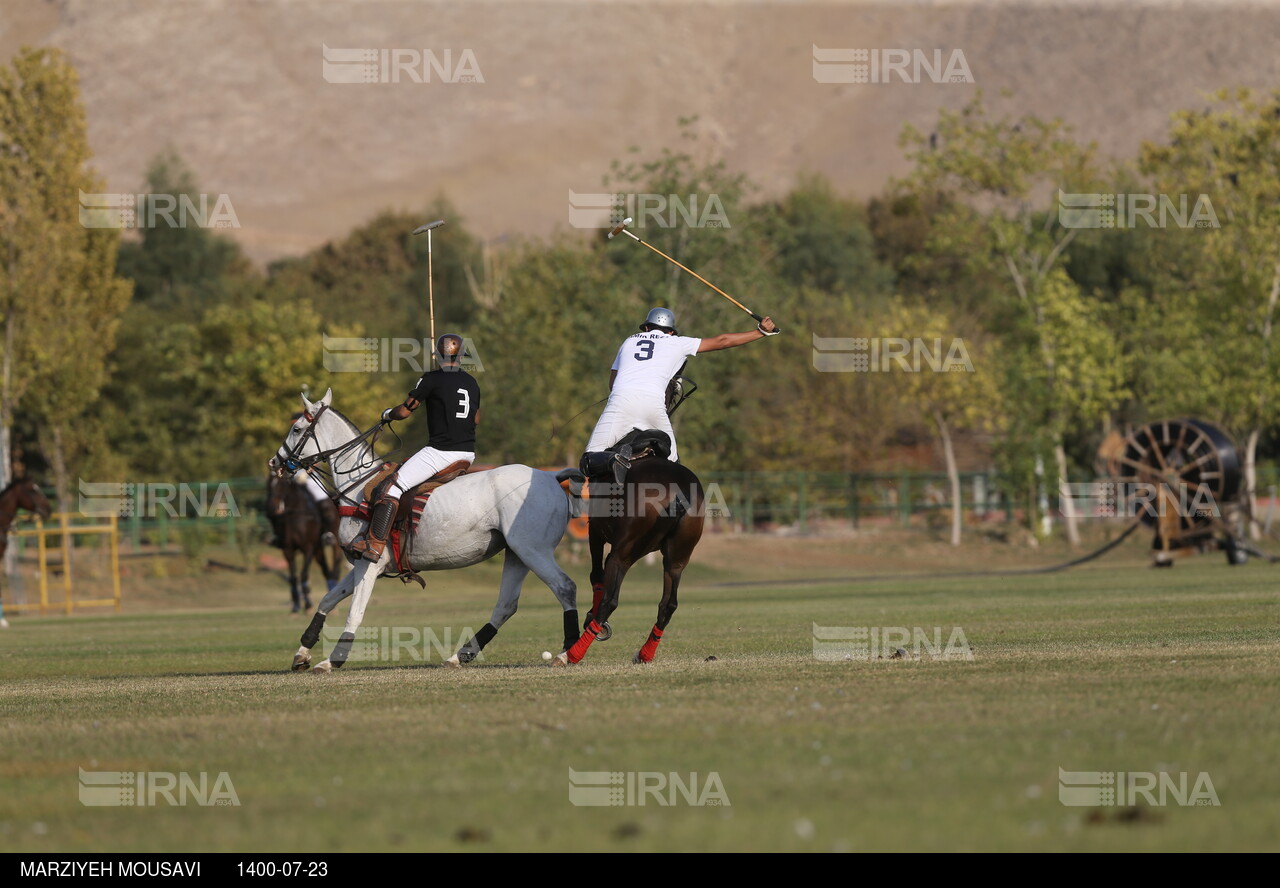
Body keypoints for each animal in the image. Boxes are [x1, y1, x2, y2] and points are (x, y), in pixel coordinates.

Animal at [264, 475, 340, 616]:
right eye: (269, 483)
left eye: (282, 483)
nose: (271, 509)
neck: (294, 513)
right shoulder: (288, 550)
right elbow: (293, 578)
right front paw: (296, 607)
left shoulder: (308, 547)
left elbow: (304, 574)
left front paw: (308, 606)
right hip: (318, 549)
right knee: (326, 570)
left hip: (335, 543)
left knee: (335, 565)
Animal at [558, 452, 706, 665]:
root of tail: (680, 493)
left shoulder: (595, 533)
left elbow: (596, 576)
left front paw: (590, 619)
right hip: (676, 561)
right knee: (668, 604)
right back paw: (645, 653)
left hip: (623, 556)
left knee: (610, 600)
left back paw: (572, 654)